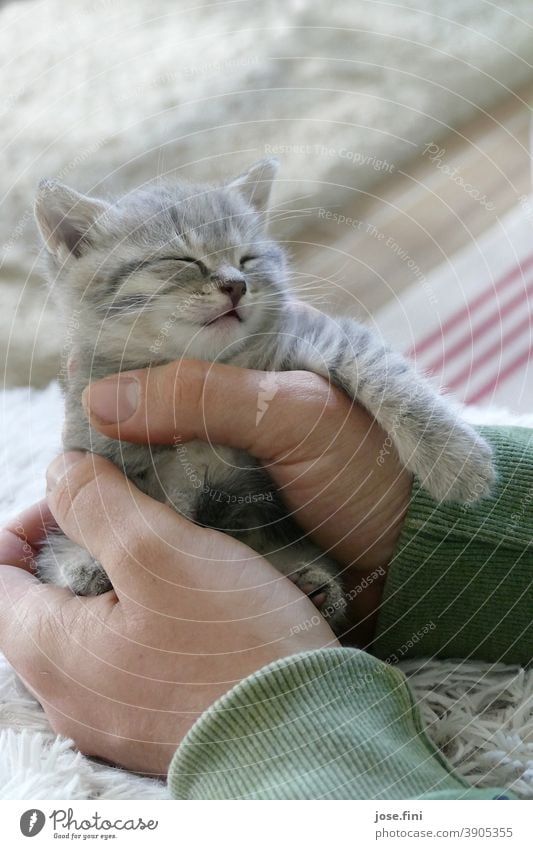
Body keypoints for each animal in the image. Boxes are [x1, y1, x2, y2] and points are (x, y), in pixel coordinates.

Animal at [35, 162, 494, 632]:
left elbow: (382, 370)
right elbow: (66, 539)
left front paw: (455, 460)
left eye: (247, 259)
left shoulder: (315, 337)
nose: (236, 285)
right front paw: (83, 563)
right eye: (181, 260)